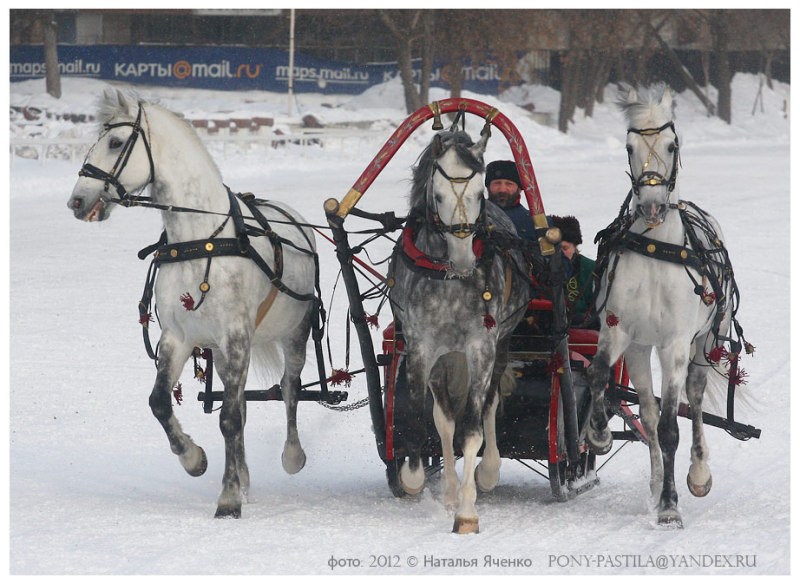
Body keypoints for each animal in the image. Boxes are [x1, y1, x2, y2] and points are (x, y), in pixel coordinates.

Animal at [68, 91, 318, 520]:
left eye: (115, 143)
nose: (76, 200)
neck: (201, 239)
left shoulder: (236, 337)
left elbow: (230, 418)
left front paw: (229, 499)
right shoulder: (178, 337)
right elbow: (160, 403)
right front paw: (194, 459)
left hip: (294, 334)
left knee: (290, 388)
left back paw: (291, 455)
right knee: (245, 402)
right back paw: (244, 475)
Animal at [390, 128, 532, 532]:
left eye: (479, 194)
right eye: (437, 195)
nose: (465, 257)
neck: (448, 277)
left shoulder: (481, 346)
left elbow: (472, 429)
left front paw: (468, 512)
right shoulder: (421, 346)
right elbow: (423, 419)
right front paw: (414, 478)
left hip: (499, 345)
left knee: (489, 404)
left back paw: (487, 472)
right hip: (446, 358)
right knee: (444, 420)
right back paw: (451, 491)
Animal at [588, 83, 752, 528]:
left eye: (672, 144)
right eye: (629, 146)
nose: (651, 204)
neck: (655, 249)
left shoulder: (676, 344)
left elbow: (671, 427)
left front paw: (670, 506)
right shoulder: (619, 331)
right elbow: (598, 376)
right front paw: (598, 433)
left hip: (706, 341)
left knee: (691, 402)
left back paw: (697, 473)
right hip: (642, 349)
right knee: (647, 414)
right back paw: (654, 480)